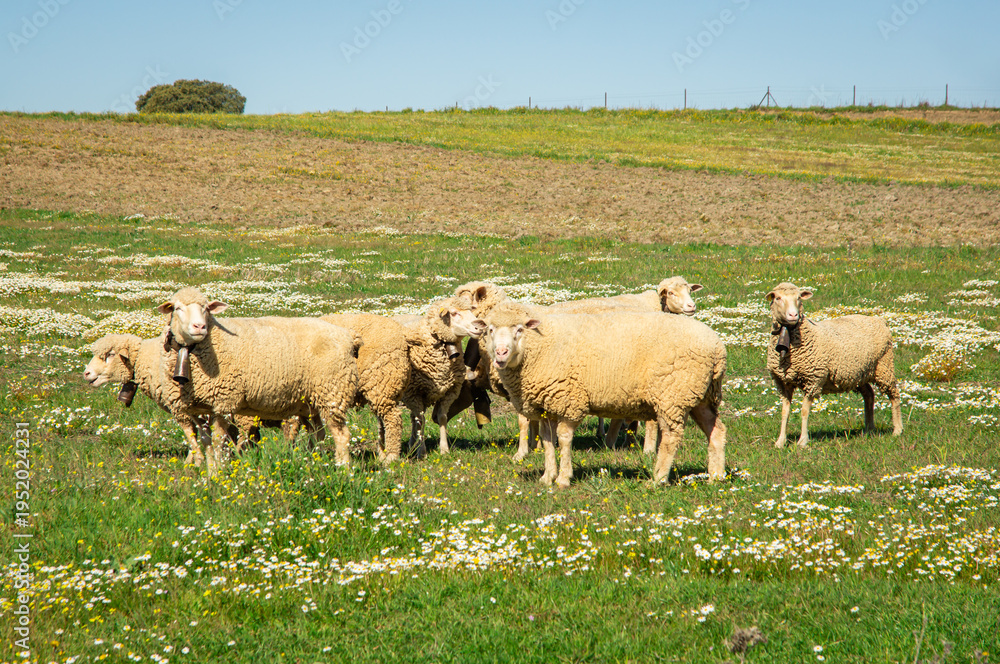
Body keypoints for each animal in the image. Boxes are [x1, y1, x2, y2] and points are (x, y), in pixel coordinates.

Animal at [157, 287, 360, 476]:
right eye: (177, 308)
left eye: (206, 308)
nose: (199, 327)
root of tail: (347, 336)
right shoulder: (196, 408)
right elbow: (206, 442)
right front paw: (210, 475)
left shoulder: (223, 402)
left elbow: (217, 441)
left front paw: (219, 474)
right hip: (310, 401)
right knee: (318, 433)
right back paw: (315, 462)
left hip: (333, 392)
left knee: (341, 435)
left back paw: (344, 470)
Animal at [319, 313, 410, 462]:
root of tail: (402, 334)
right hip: (384, 389)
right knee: (382, 423)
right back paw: (382, 454)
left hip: (381, 382)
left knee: (393, 418)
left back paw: (391, 457)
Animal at [398, 296, 486, 457]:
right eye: (454, 313)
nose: (480, 327)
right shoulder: (415, 392)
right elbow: (422, 421)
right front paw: (422, 452)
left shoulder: (449, 391)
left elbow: (442, 418)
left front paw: (444, 449)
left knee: (413, 418)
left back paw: (412, 444)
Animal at [483, 301, 728, 487]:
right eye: (490, 330)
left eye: (519, 329)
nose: (501, 352)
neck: (541, 345)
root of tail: (718, 347)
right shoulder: (546, 406)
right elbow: (547, 440)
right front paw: (547, 477)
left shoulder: (569, 401)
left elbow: (564, 438)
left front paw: (563, 478)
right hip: (698, 396)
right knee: (716, 431)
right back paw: (715, 477)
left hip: (672, 395)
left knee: (670, 437)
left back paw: (657, 479)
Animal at [766, 282, 903, 448]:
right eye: (778, 298)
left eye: (799, 298)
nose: (793, 315)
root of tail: (879, 320)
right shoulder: (782, 382)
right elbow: (784, 412)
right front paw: (780, 441)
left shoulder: (813, 380)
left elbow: (804, 411)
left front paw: (803, 441)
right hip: (858, 373)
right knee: (869, 394)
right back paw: (869, 429)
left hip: (884, 366)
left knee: (894, 394)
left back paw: (897, 430)